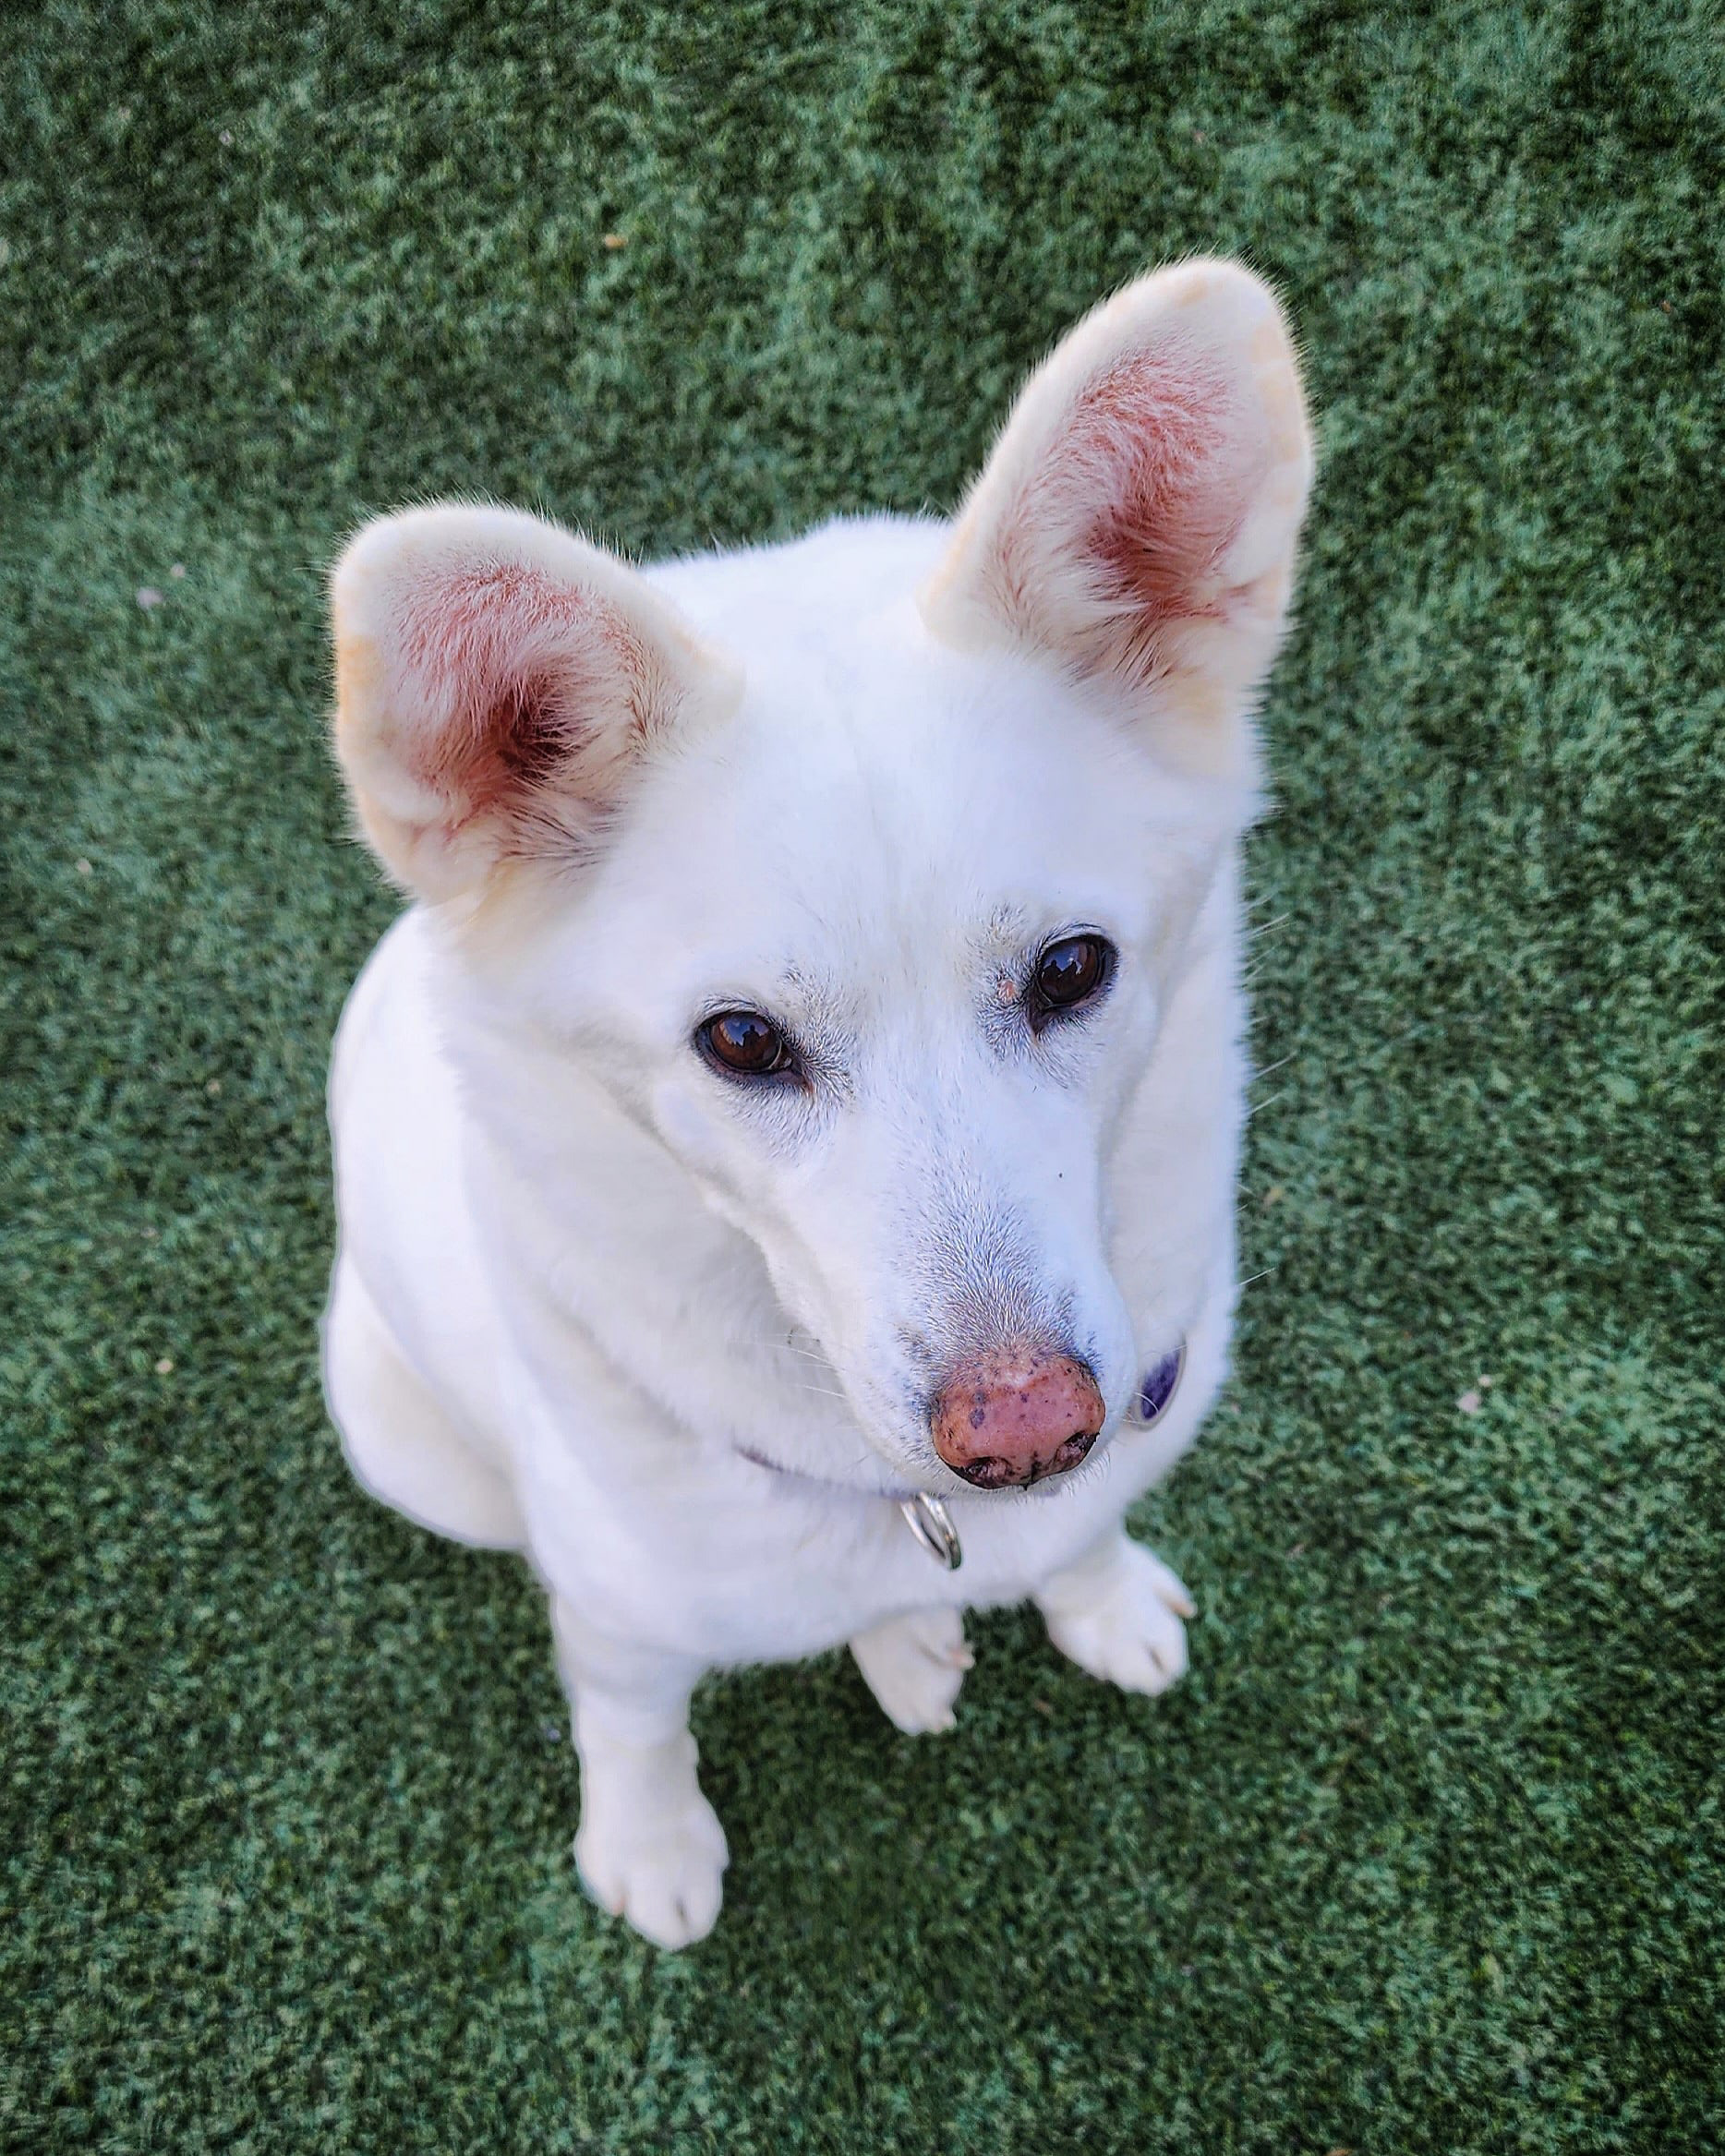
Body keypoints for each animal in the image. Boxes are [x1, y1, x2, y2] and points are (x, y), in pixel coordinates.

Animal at [320, 258, 1313, 1947]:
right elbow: (632, 1725)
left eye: (1073, 966)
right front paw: (649, 1848)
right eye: (739, 1042)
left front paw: (1098, 1593)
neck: (898, 1506)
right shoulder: (621, 1627)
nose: (1026, 1434)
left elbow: (1090, 1534)